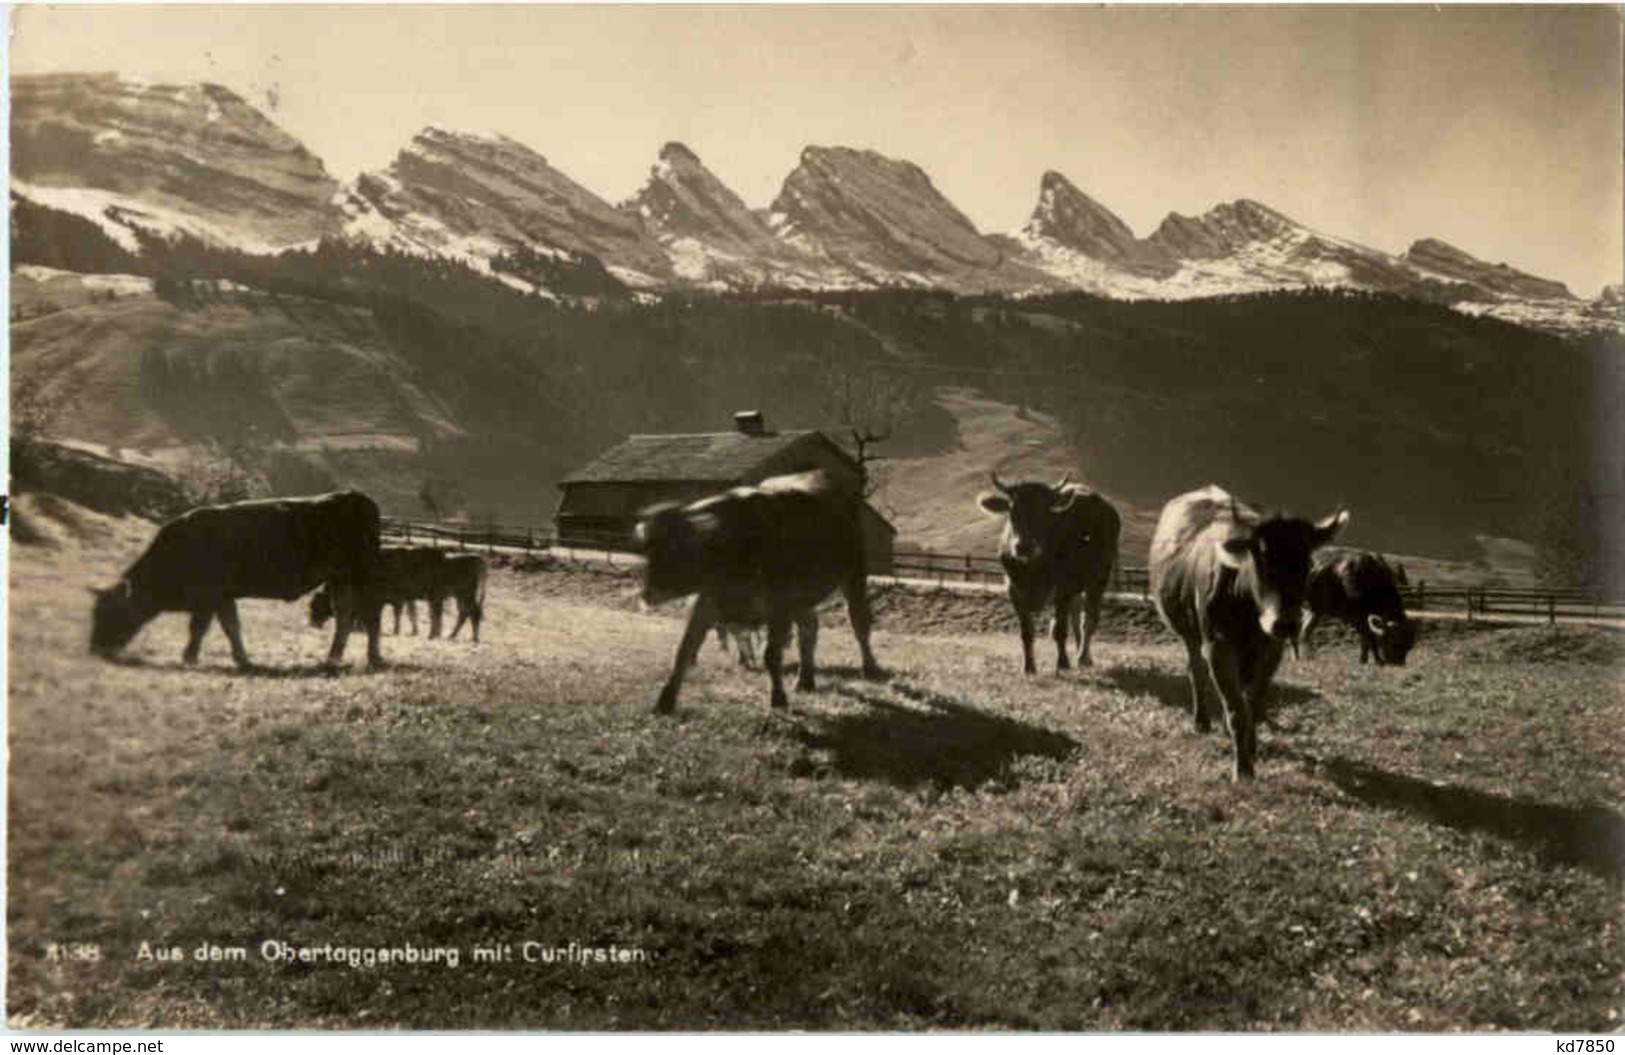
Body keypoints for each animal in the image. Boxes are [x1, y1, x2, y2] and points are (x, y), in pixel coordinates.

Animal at [94, 490, 383, 669]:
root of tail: (357, 496)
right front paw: (242, 659)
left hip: (360, 578)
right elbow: (231, 626)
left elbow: (199, 628)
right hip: (342, 580)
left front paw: (189, 657)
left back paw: (373, 658)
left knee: (368, 618)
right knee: (345, 618)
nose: (96, 648)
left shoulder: (209, 598)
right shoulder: (223, 598)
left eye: (109, 612)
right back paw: (333, 658)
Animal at [975, 474, 1118, 669]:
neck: (1032, 569)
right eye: (1012, 512)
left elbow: (1059, 630)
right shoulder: (1013, 590)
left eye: (1046, 513)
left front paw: (1062, 663)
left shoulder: (1063, 589)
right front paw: (1029, 667)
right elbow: (1027, 632)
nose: (1024, 546)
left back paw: (1083, 657)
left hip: (1100, 579)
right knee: (1076, 617)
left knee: (1088, 620)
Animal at [1150, 481, 1352, 777]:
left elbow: (1252, 705)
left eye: (1307, 563)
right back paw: (1202, 721)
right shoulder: (1218, 646)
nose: (1285, 622)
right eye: (1260, 558)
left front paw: (1252, 749)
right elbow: (1236, 710)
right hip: (1189, 633)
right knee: (1196, 671)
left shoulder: (1272, 649)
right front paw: (1243, 768)